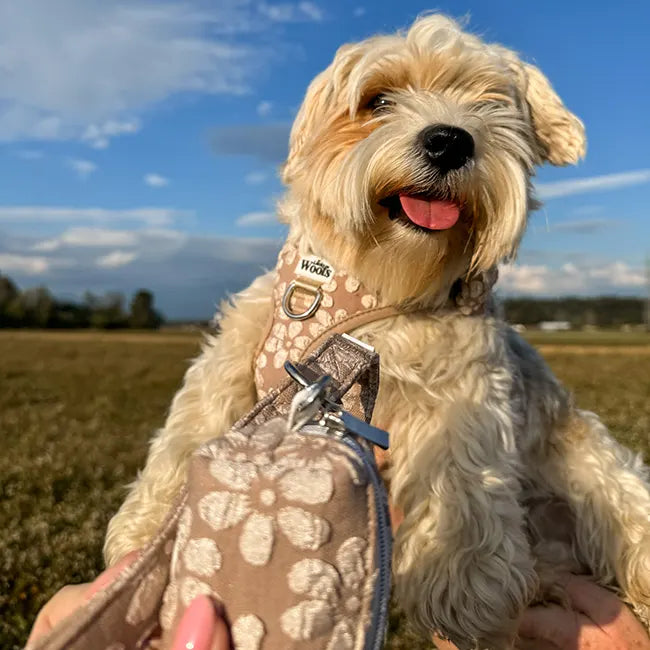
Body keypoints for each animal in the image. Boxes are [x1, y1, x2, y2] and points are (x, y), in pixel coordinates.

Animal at [104, 15, 644, 648]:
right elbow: (193, 422)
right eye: (378, 100)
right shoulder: (240, 343)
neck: (381, 290)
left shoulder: (467, 384)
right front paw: (144, 531)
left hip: (601, 475)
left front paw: (464, 577)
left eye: (490, 105)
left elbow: (461, 467)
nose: (450, 140)